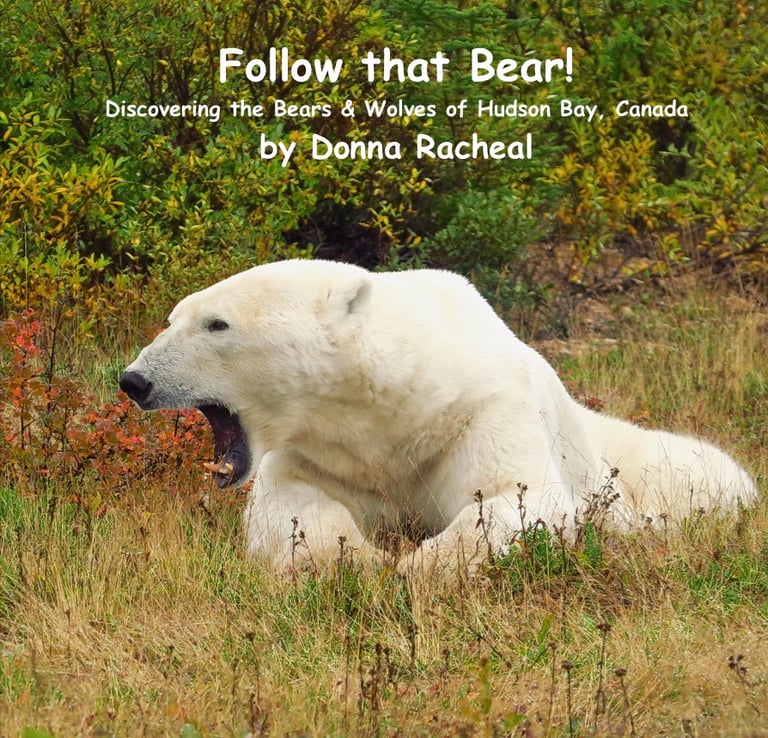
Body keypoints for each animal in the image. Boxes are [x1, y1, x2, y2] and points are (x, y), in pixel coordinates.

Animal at [120, 259, 756, 574]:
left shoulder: (479, 413)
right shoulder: (322, 452)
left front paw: (415, 570)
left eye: (217, 324)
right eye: (174, 317)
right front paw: (356, 561)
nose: (134, 380)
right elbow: (291, 509)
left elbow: (515, 497)